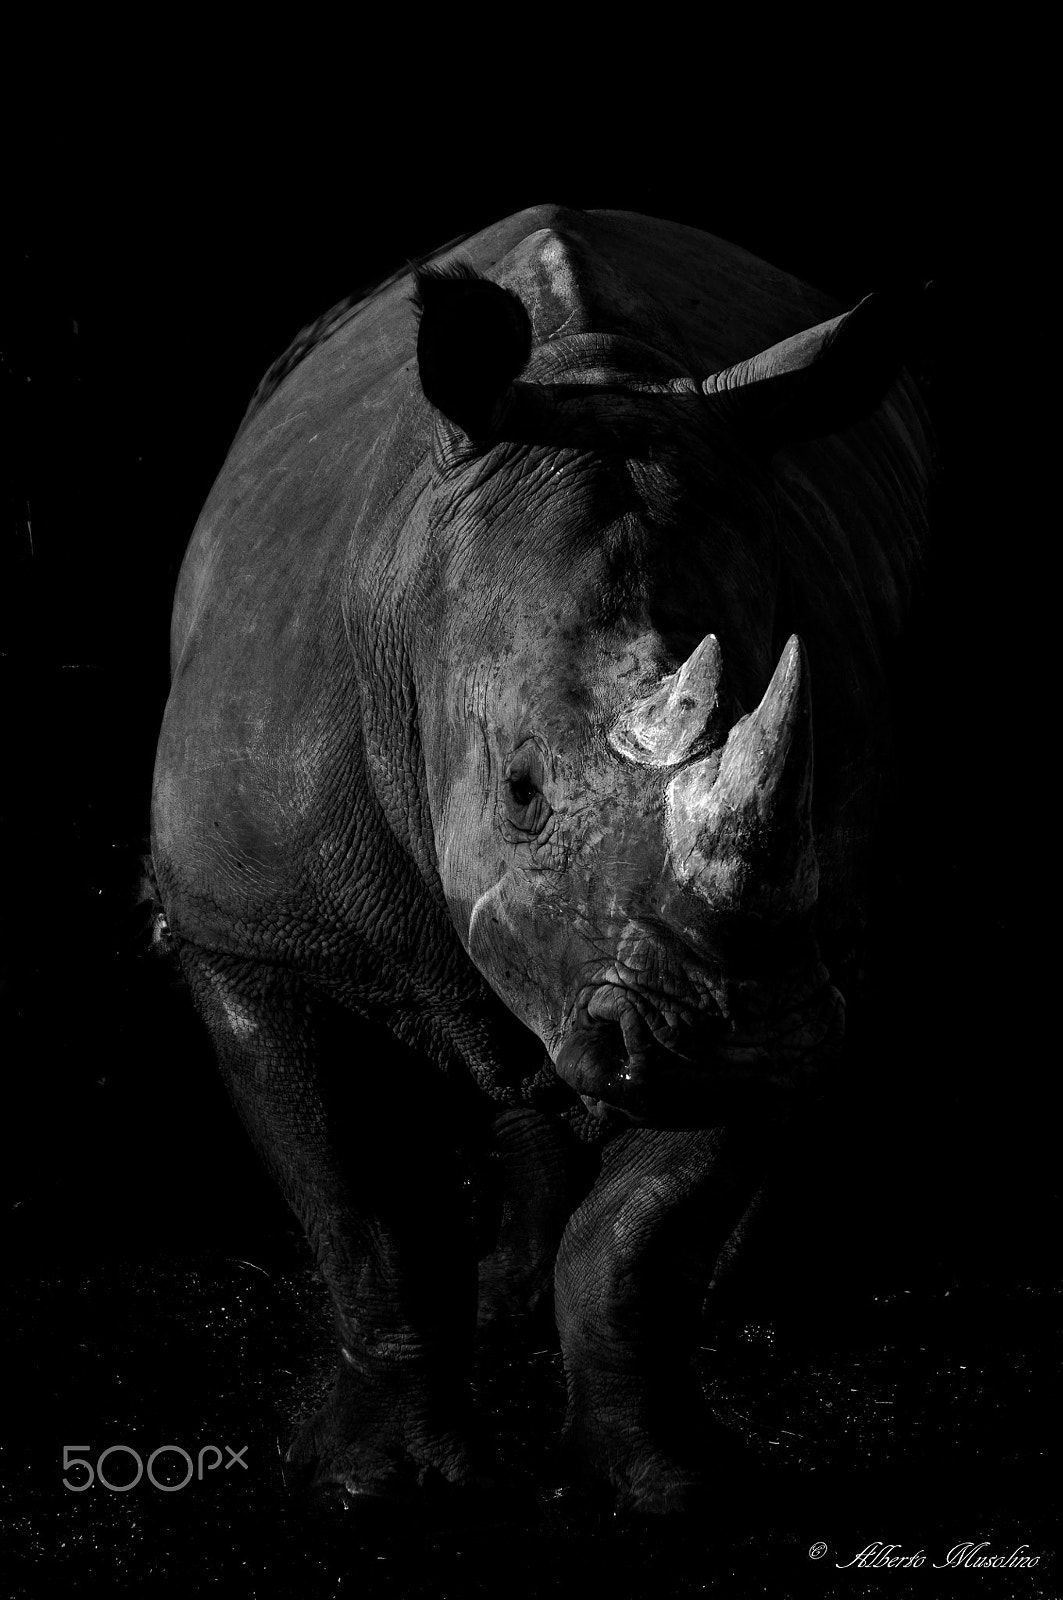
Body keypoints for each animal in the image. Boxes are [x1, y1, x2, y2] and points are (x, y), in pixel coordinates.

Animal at [151, 205, 931, 1514]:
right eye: (518, 790)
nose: (732, 1039)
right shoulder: (250, 929)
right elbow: (360, 1208)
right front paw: (381, 1480)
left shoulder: (799, 947)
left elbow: (640, 1231)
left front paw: (663, 1480)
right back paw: (506, 1305)